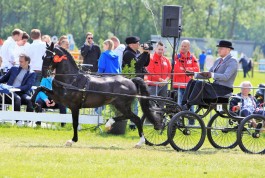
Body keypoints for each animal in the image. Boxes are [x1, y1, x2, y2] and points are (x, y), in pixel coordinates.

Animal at [31, 42, 162, 146]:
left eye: (49, 57)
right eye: (43, 56)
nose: (44, 73)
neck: (71, 79)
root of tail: (131, 81)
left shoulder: (74, 106)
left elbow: (75, 123)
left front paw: (72, 140)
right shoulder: (59, 98)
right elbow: (40, 88)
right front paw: (35, 105)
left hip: (121, 104)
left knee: (135, 118)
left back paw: (136, 139)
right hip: (118, 104)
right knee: (130, 117)